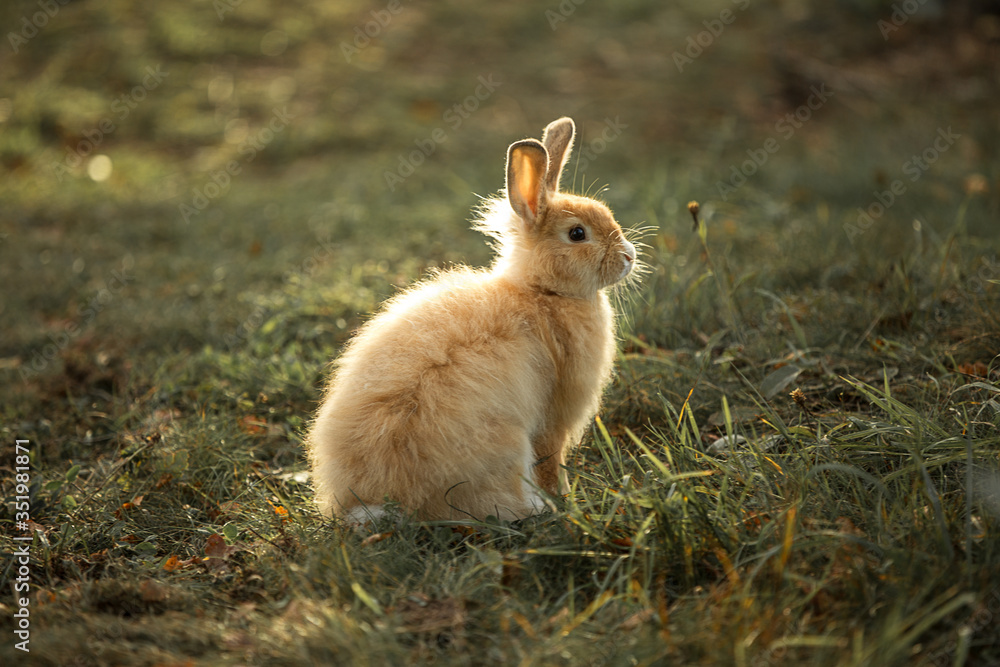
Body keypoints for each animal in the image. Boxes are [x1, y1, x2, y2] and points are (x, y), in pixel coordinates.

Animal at [306, 117, 638, 525]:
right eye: (578, 234)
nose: (629, 257)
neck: (543, 293)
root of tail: (390, 499)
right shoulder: (554, 417)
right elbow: (551, 460)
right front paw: (565, 498)